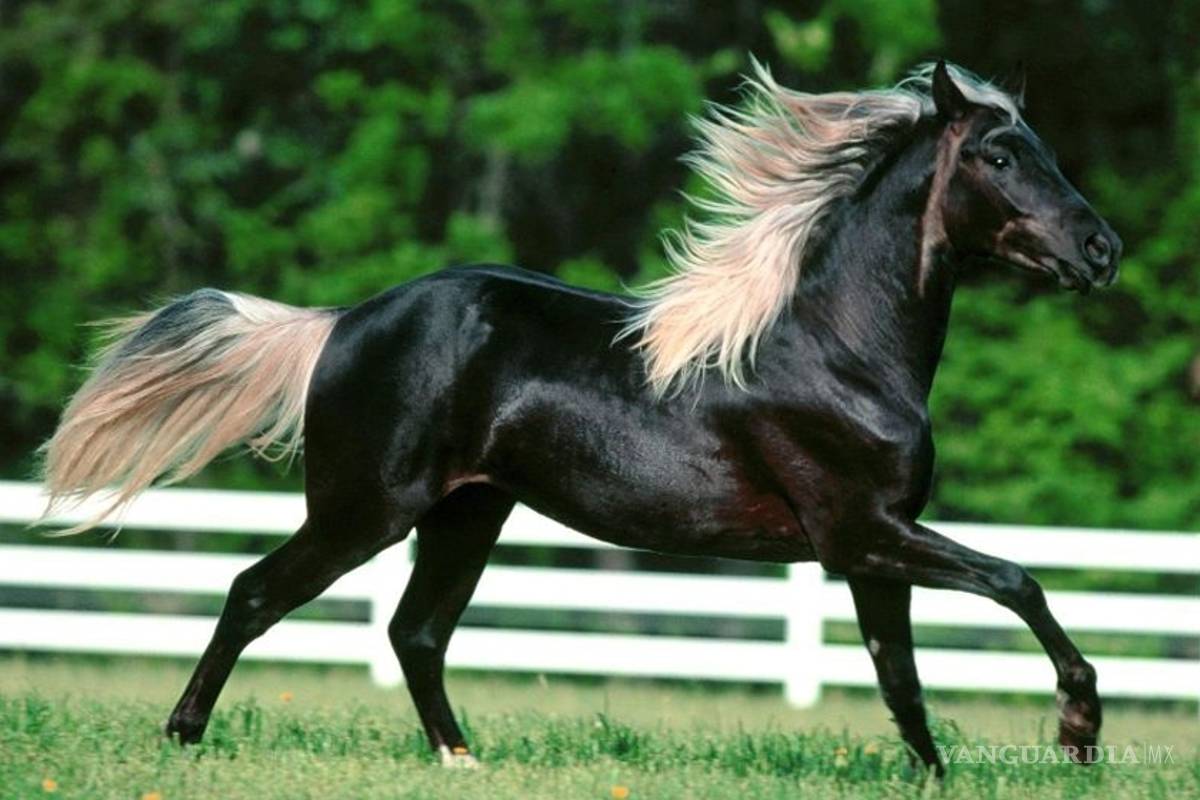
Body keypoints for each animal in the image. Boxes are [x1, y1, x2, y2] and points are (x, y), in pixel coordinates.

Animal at [40, 61, 1121, 776]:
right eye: (1000, 154)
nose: (1102, 251)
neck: (839, 347)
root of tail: (342, 322)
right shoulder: (863, 530)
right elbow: (1017, 581)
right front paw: (1078, 729)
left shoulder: (871, 544)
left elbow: (900, 676)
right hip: (365, 510)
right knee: (256, 592)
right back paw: (183, 736)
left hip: (466, 513)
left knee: (415, 631)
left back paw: (462, 759)